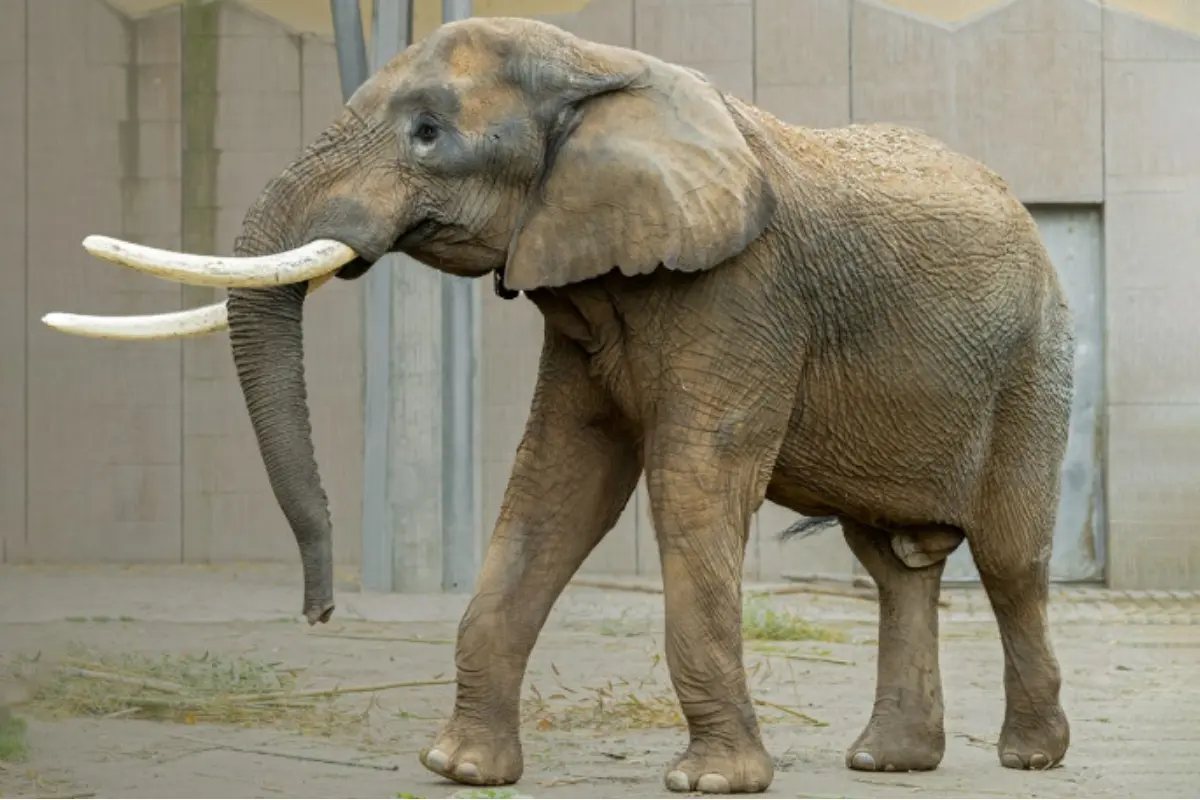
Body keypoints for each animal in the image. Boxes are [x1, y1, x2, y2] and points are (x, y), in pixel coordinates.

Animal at [44, 15, 1080, 796]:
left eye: (429, 132)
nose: (320, 613)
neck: (598, 62)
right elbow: (556, 485)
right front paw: (460, 768)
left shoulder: (746, 290)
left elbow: (692, 485)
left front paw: (711, 783)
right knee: (894, 564)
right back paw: (887, 762)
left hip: (1037, 358)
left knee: (1008, 559)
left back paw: (1028, 757)